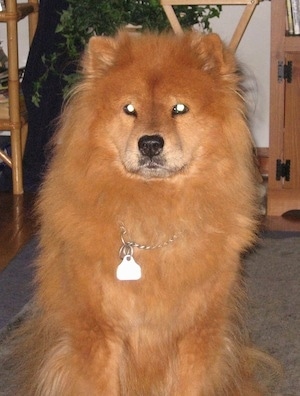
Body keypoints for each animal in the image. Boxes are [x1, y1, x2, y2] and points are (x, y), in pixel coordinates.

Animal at [2, 31, 270, 396]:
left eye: (179, 109)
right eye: (129, 109)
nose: (151, 143)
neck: (151, 219)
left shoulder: (197, 334)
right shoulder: (99, 334)